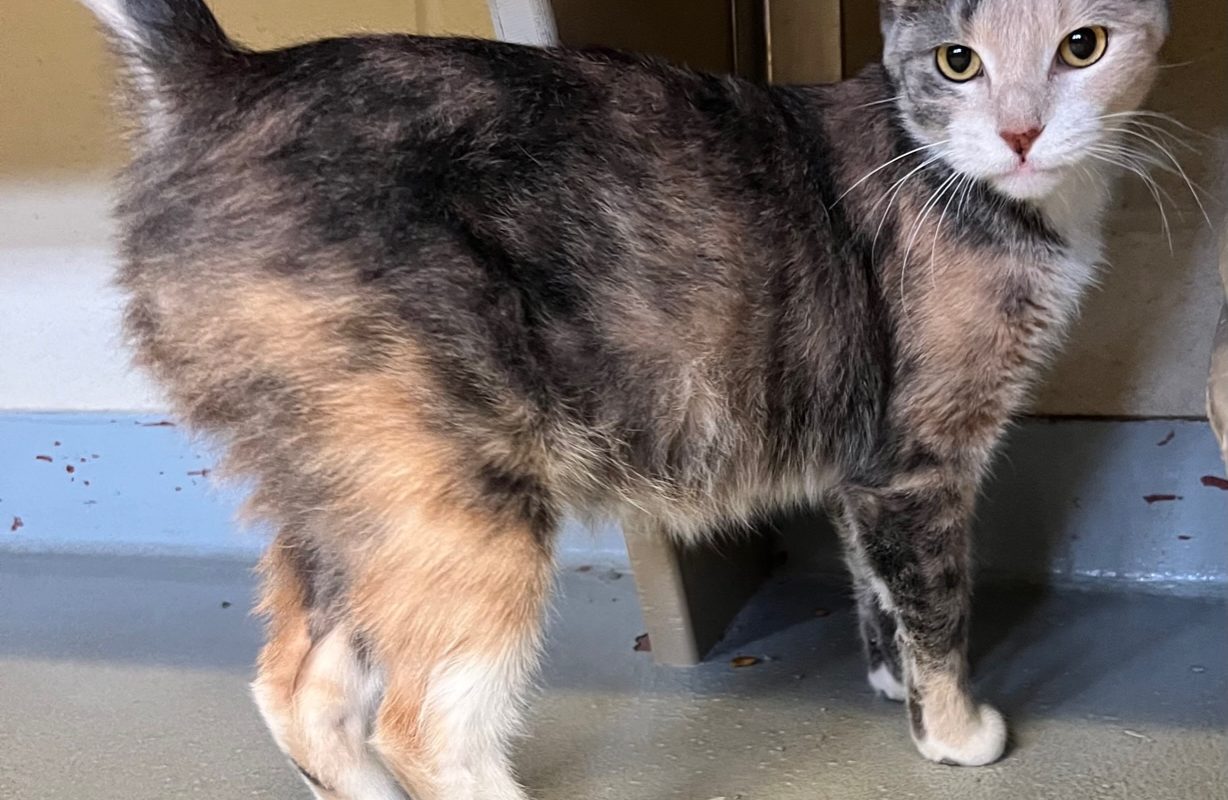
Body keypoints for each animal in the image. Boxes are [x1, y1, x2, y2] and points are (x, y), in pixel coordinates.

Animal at [79, 0, 1170, 797]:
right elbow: (938, 603)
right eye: (957, 61)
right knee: (423, 729)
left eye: (1082, 45)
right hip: (454, 503)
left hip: (343, 497)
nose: (1022, 132)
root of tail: (224, 76)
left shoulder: (868, 466)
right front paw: (951, 730)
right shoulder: (923, 461)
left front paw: (889, 678)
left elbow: (880, 583)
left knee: (298, 690)